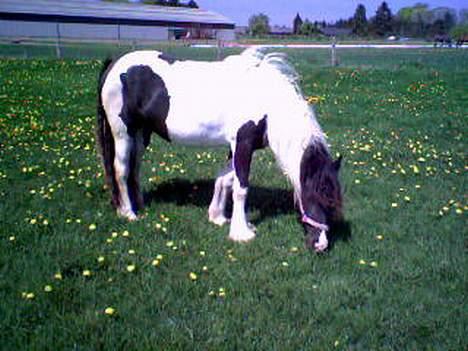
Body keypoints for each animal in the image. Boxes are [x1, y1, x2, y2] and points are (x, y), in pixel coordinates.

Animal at [96, 48, 344, 253]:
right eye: (318, 195)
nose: (320, 245)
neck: (266, 103)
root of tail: (114, 63)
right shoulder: (243, 144)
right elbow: (241, 188)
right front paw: (241, 233)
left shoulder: (236, 146)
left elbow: (225, 180)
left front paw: (217, 217)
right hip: (123, 132)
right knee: (121, 170)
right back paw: (128, 213)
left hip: (140, 133)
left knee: (135, 167)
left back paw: (139, 204)